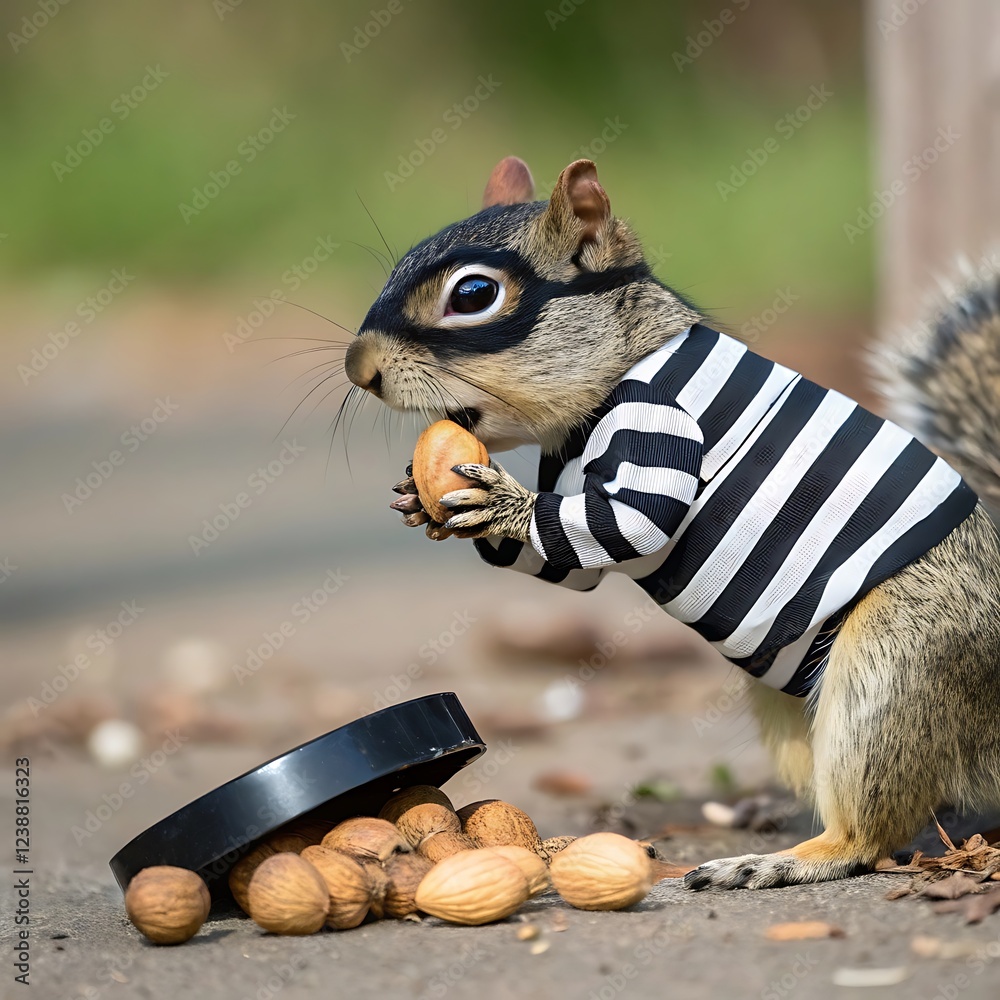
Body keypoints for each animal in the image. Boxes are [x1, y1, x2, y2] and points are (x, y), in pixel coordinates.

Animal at [345, 156, 1000, 889]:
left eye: (475, 293)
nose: (358, 368)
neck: (628, 357)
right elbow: (568, 563)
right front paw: (422, 499)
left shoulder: (663, 425)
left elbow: (628, 524)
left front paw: (503, 505)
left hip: (897, 663)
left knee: (871, 833)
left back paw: (779, 861)